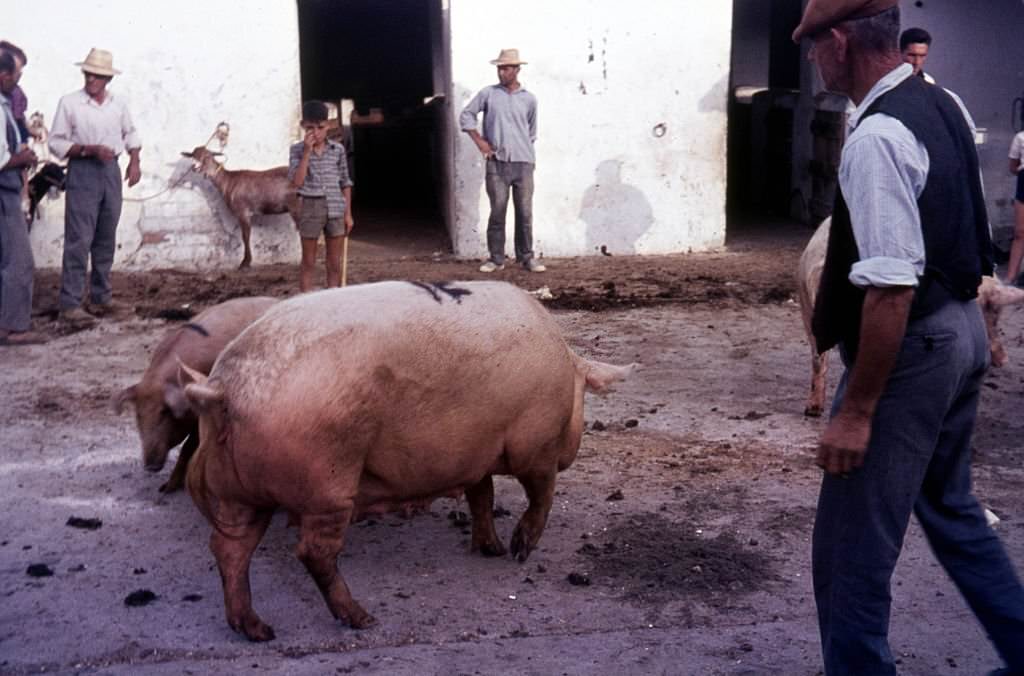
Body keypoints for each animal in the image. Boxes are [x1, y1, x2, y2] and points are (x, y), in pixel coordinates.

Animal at [183, 280, 630, 639]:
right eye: (583, 398)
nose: (572, 451)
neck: (566, 371)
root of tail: (223, 389)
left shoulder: (474, 455)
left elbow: (482, 497)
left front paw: (492, 550)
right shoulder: (534, 445)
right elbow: (540, 493)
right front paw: (519, 551)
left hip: (240, 494)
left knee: (228, 549)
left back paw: (258, 630)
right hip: (327, 482)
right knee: (313, 552)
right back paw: (363, 619)